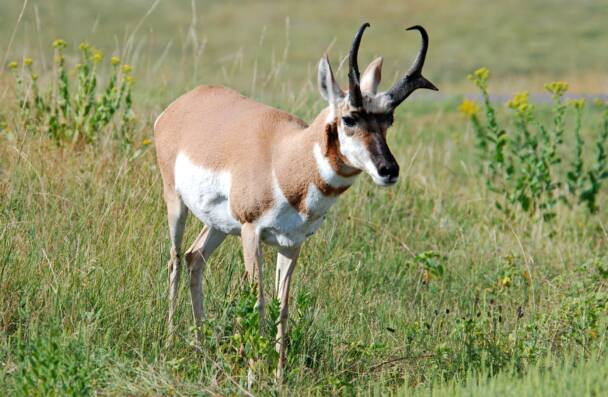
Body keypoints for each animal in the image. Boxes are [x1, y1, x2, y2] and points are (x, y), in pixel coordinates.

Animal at [152, 23, 436, 376]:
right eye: (349, 119)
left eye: (389, 120)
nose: (389, 170)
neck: (285, 157)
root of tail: (180, 106)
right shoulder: (251, 233)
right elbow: (258, 301)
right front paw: (254, 371)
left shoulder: (291, 243)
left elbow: (282, 305)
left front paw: (278, 374)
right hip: (176, 204)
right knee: (175, 259)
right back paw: (169, 341)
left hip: (218, 225)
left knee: (195, 258)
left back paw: (201, 348)